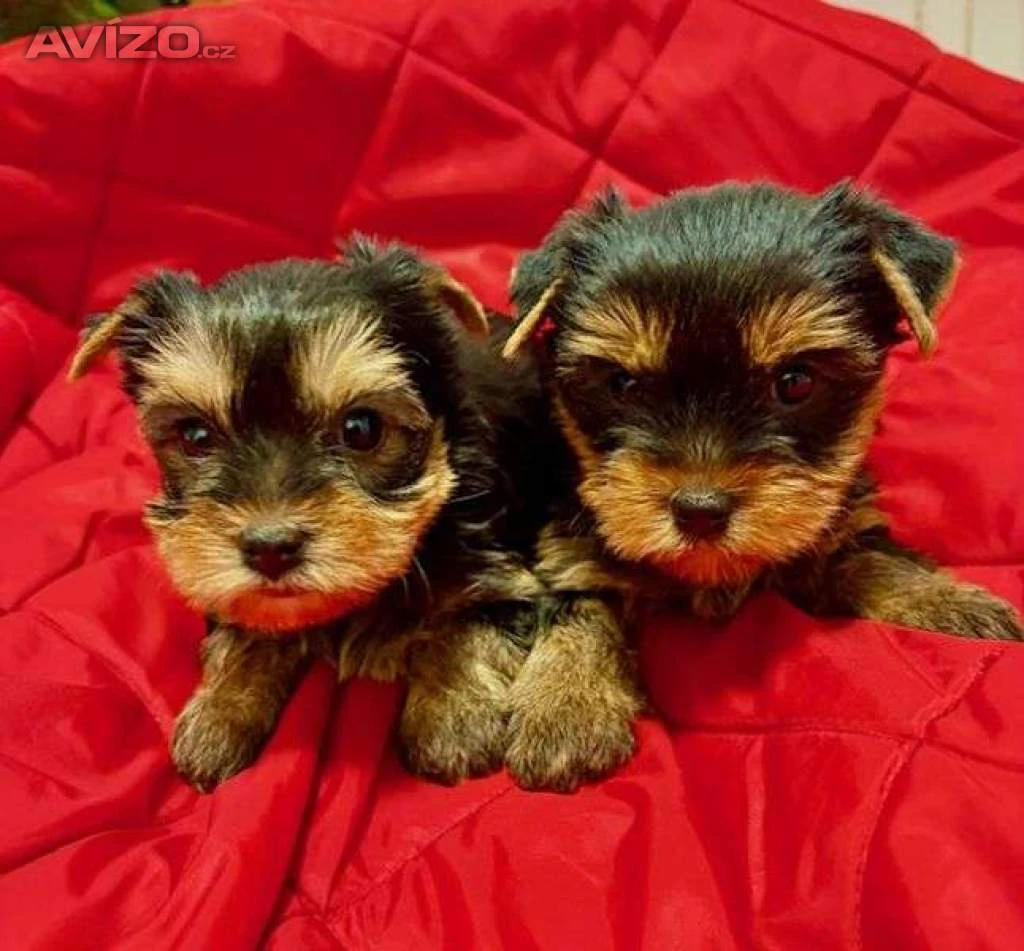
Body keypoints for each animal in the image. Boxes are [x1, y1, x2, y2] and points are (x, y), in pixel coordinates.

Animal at [69, 239, 551, 791]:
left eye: (361, 429)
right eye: (194, 436)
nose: (270, 548)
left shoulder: (502, 563)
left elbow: (469, 620)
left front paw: (454, 716)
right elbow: (246, 624)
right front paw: (218, 714)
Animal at [501, 181, 1023, 792]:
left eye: (795, 383)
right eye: (622, 385)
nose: (699, 509)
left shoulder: (837, 521)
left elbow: (871, 558)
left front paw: (949, 602)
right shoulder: (574, 539)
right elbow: (579, 606)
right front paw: (565, 706)